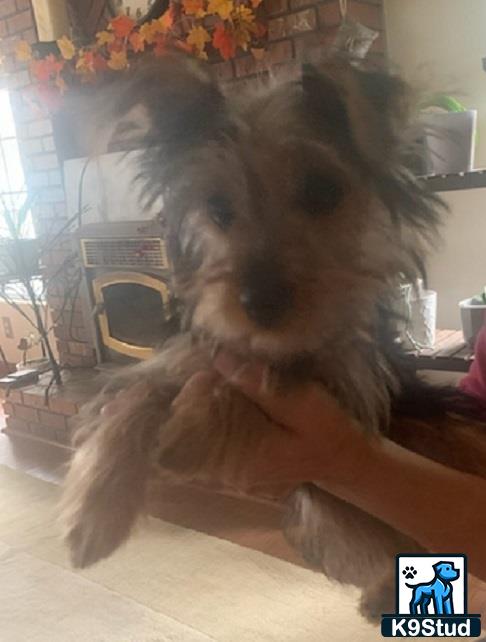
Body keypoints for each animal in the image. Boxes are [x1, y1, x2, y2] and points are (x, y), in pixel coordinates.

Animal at [60, 53, 486, 620]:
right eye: (218, 209)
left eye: (323, 191)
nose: (259, 303)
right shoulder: (182, 356)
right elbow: (140, 393)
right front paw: (92, 520)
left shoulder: (343, 382)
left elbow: (269, 379)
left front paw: (188, 434)